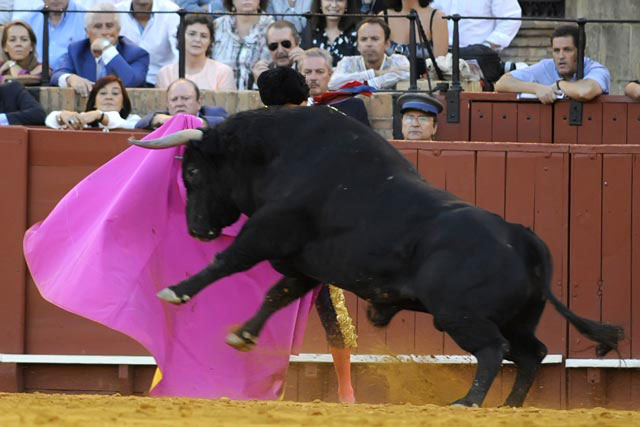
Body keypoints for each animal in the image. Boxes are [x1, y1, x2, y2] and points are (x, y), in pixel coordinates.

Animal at [131, 106, 624, 408]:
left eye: (194, 172)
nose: (197, 229)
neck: (276, 154)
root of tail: (522, 237)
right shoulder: (305, 265)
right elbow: (277, 294)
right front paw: (244, 335)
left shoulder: (268, 232)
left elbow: (228, 262)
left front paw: (175, 292)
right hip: (517, 317)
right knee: (532, 353)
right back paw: (509, 405)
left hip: (458, 313)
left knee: (494, 350)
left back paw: (468, 402)